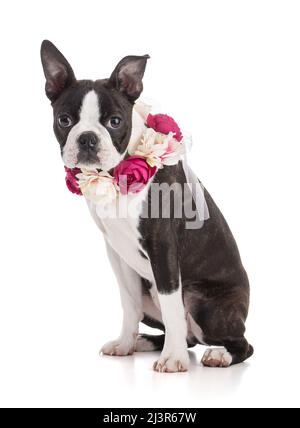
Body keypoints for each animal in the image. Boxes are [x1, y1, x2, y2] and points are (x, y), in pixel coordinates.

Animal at [40, 41, 253, 372]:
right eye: (64, 120)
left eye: (115, 122)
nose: (87, 138)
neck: (117, 176)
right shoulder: (117, 253)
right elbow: (129, 304)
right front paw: (125, 343)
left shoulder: (162, 246)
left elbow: (172, 302)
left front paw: (173, 359)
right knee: (179, 330)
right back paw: (145, 341)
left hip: (206, 304)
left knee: (239, 343)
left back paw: (218, 354)